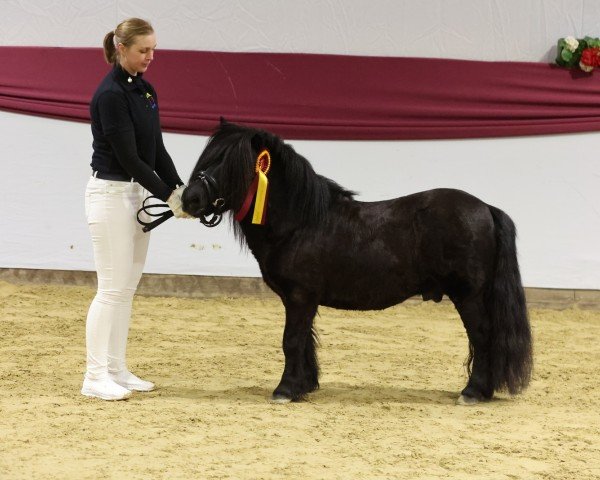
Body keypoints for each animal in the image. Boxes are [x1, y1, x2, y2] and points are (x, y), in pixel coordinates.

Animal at [180, 120, 532, 404]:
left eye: (228, 162)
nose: (189, 198)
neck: (300, 223)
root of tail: (485, 208)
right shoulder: (302, 300)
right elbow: (304, 341)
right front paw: (303, 386)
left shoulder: (300, 296)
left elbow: (291, 341)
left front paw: (285, 390)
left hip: (468, 295)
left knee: (482, 336)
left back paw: (472, 392)